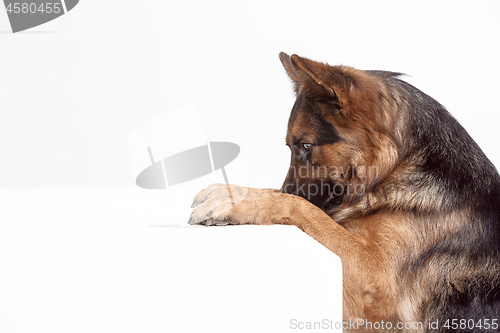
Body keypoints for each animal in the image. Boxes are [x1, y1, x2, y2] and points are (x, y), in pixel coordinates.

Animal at [188, 52, 500, 330]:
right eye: (291, 146)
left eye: (306, 145)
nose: (290, 188)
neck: (397, 168)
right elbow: (289, 199)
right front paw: (229, 191)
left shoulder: (376, 278)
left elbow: (300, 207)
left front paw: (233, 203)